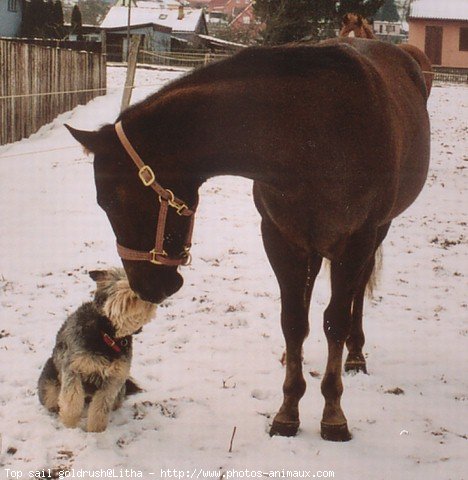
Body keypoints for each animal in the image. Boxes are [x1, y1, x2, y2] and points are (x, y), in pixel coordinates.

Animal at [36, 270, 156, 432]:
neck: (107, 334)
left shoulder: (112, 380)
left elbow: (100, 409)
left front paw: (96, 432)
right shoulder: (73, 369)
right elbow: (72, 403)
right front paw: (70, 427)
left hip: (120, 392)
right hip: (50, 383)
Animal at [66, 38, 432, 442]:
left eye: (111, 200)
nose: (147, 286)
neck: (313, 135)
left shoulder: (356, 242)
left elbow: (335, 321)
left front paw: (333, 415)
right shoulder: (279, 238)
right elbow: (293, 321)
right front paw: (288, 410)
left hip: (376, 233)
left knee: (358, 291)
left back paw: (355, 353)